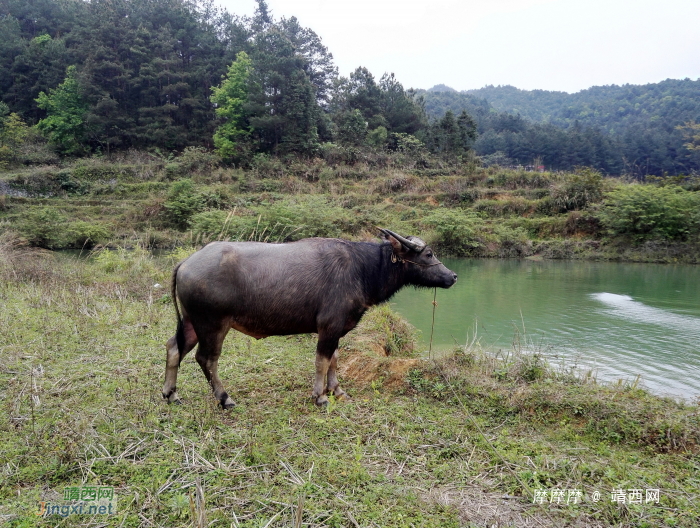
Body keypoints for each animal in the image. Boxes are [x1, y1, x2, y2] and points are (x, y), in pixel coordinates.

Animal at [164, 228, 460, 408]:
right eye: (429, 254)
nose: (453, 276)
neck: (363, 269)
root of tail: (186, 262)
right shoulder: (328, 327)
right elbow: (322, 361)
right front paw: (320, 396)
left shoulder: (337, 329)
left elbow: (335, 360)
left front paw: (337, 390)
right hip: (213, 325)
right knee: (206, 359)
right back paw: (224, 398)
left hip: (191, 323)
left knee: (174, 347)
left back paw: (170, 393)